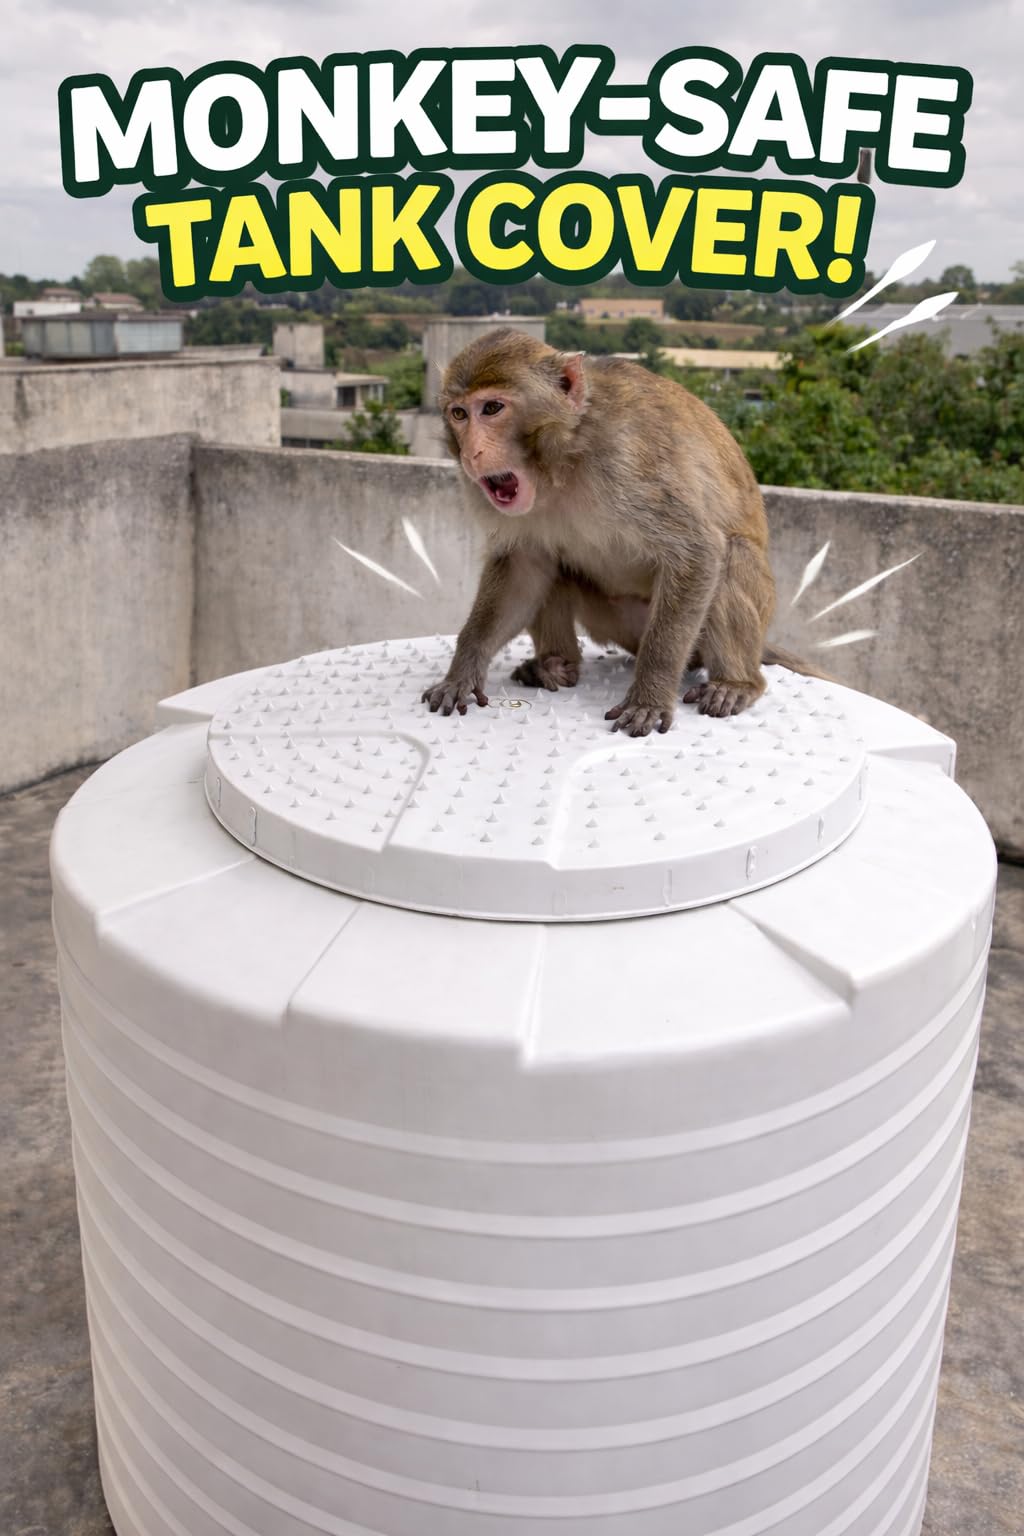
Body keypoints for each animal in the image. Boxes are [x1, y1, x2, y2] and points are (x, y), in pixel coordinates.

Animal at [422, 328, 818, 737]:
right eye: (459, 413)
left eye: (492, 408)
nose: (471, 453)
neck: (561, 462)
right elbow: (523, 567)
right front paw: (461, 674)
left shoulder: (627, 462)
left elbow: (698, 551)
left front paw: (649, 697)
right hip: (615, 620)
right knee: (552, 565)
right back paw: (557, 665)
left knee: (733, 554)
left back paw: (736, 684)